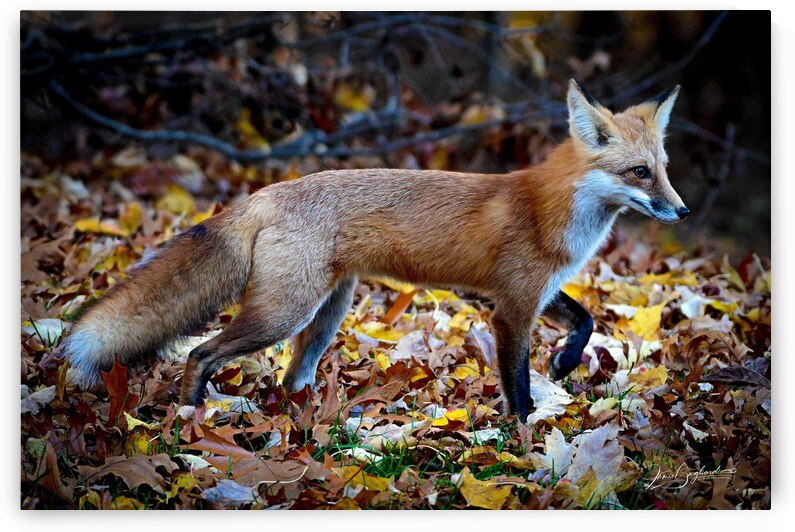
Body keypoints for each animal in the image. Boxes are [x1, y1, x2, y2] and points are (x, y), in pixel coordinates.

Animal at [59, 80, 688, 420]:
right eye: (640, 173)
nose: (682, 211)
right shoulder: (510, 307)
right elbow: (517, 388)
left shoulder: (530, 291)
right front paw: (523, 443)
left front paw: (563, 361)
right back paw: (194, 414)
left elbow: (586, 320)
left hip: (327, 313)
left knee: (290, 377)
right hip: (284, 314)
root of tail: (266, 191)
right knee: (200, 353)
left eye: (664, 168)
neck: (554, 211)